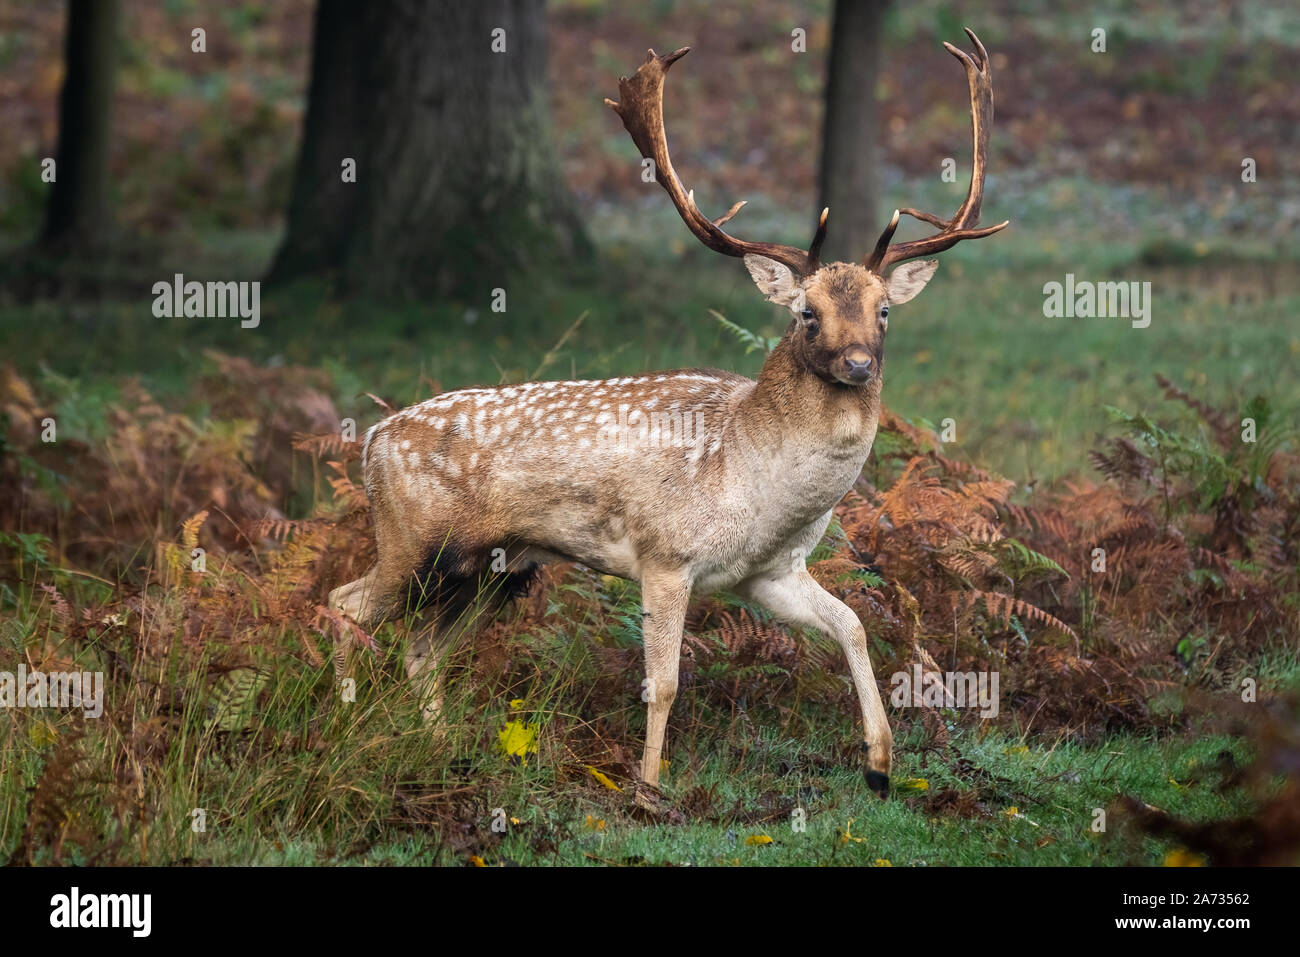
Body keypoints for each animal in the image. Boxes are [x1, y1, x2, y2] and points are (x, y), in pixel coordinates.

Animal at [330, 27, 1008, 800]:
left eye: (885, 310)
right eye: (806, 313)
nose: (859, 364)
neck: (756, 482)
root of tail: (371, 438)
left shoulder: (771, 572)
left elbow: (855, 625)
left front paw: (880, 763)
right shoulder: (665, 555)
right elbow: (664, 682)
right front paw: (647, 790)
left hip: (493, 570)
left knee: (421, 646)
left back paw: (441, 748)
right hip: (411, 539)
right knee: (345, 604)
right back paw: (346, 726)